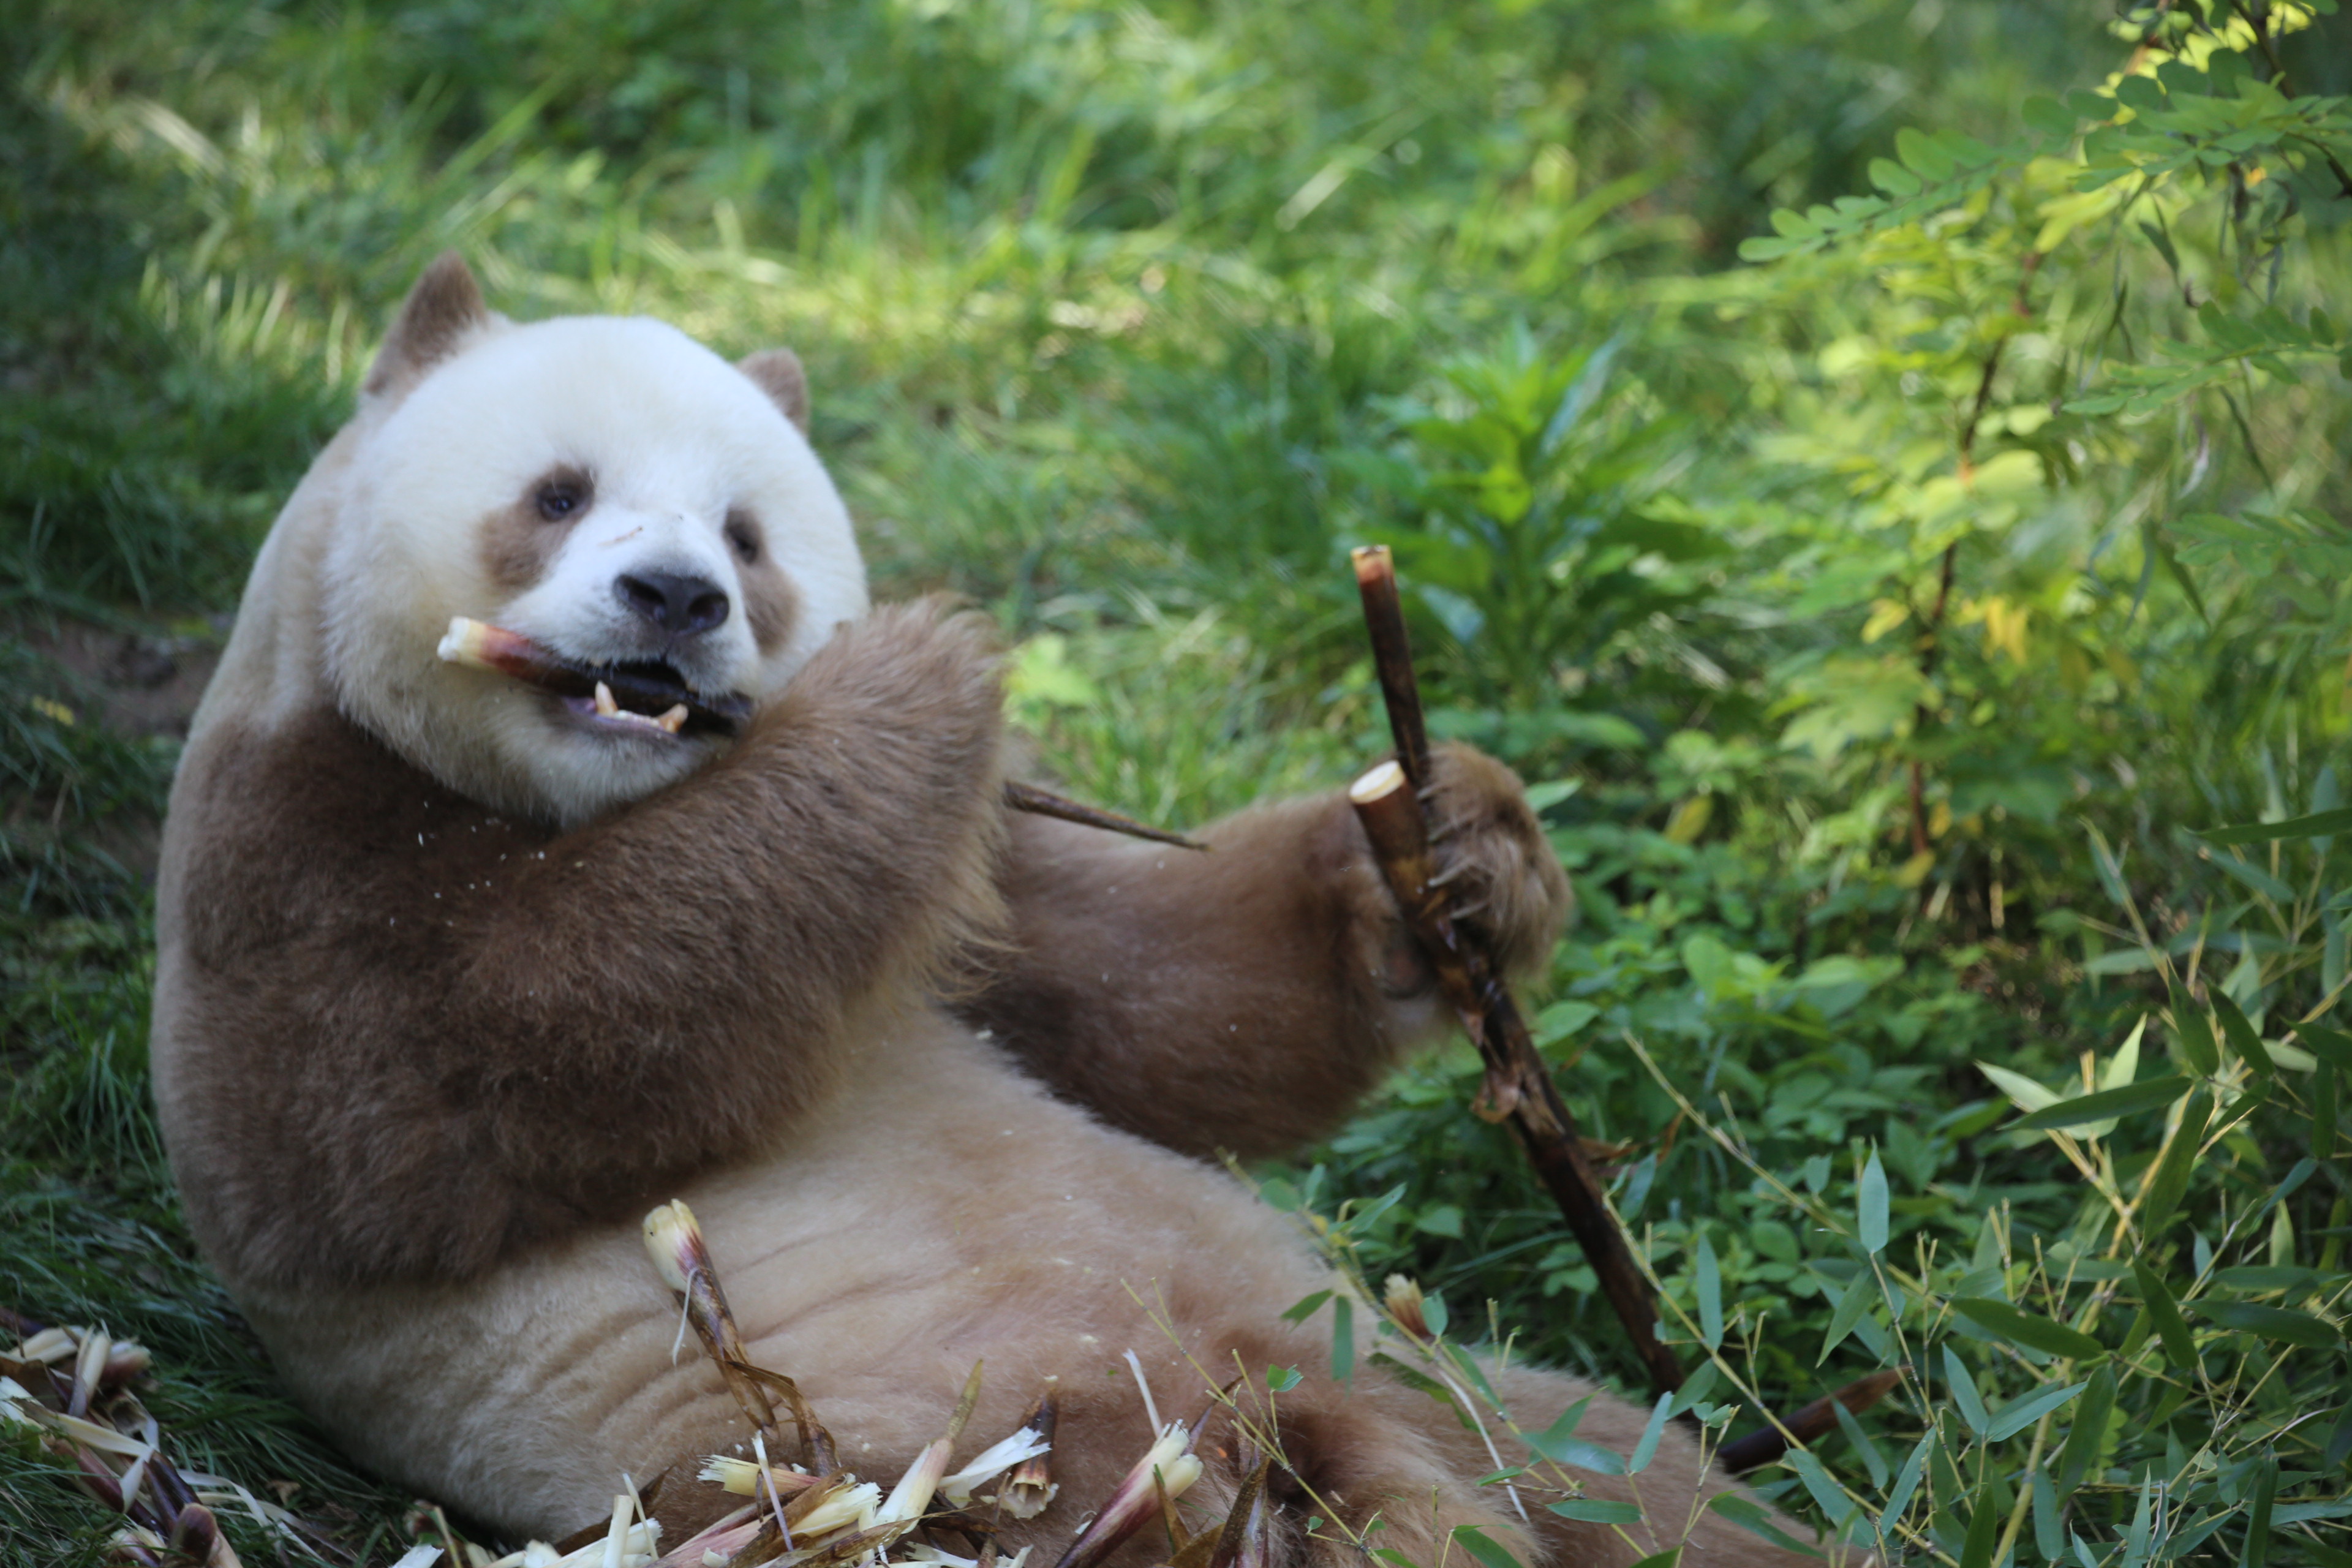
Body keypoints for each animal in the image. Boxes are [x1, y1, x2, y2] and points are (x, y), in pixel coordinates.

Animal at [147, 257, 1806, 1568]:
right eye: (558, 494)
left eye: (745, 535)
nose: (676, 598)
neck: (598, 801)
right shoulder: (290, 854)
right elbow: (479, 1064)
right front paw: (922, 674)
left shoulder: (971, 889)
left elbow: (1150, 1006)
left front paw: (1454, 849)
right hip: (960, 1452)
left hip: (1408, 1361)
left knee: (1651, 1477)